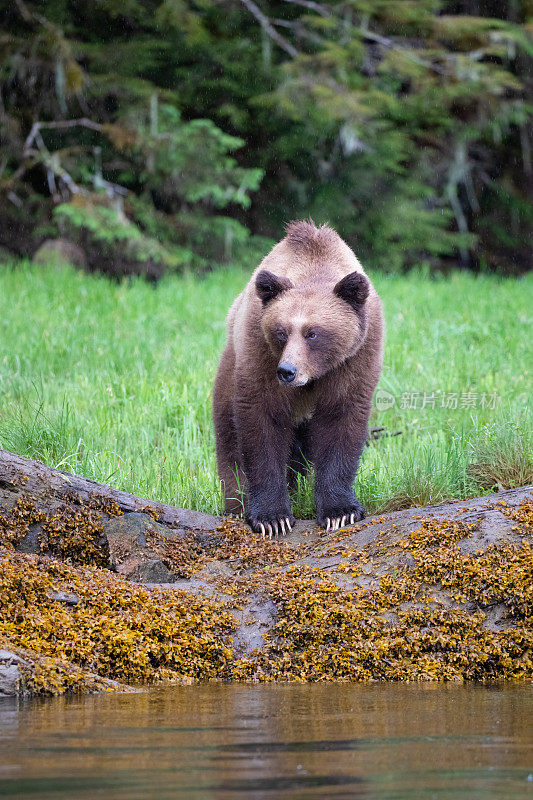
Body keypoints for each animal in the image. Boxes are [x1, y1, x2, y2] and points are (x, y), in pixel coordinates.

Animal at [212, 219, 382, 536]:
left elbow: (341, 420)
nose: (287, 371)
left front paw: (340, 511)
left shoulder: (356, 357)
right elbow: (261, 424)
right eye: (281, 331)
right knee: (228, 436)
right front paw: (272, 518)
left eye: (312, 333)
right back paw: (236, 505)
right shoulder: (260, 350)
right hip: (229, 369)